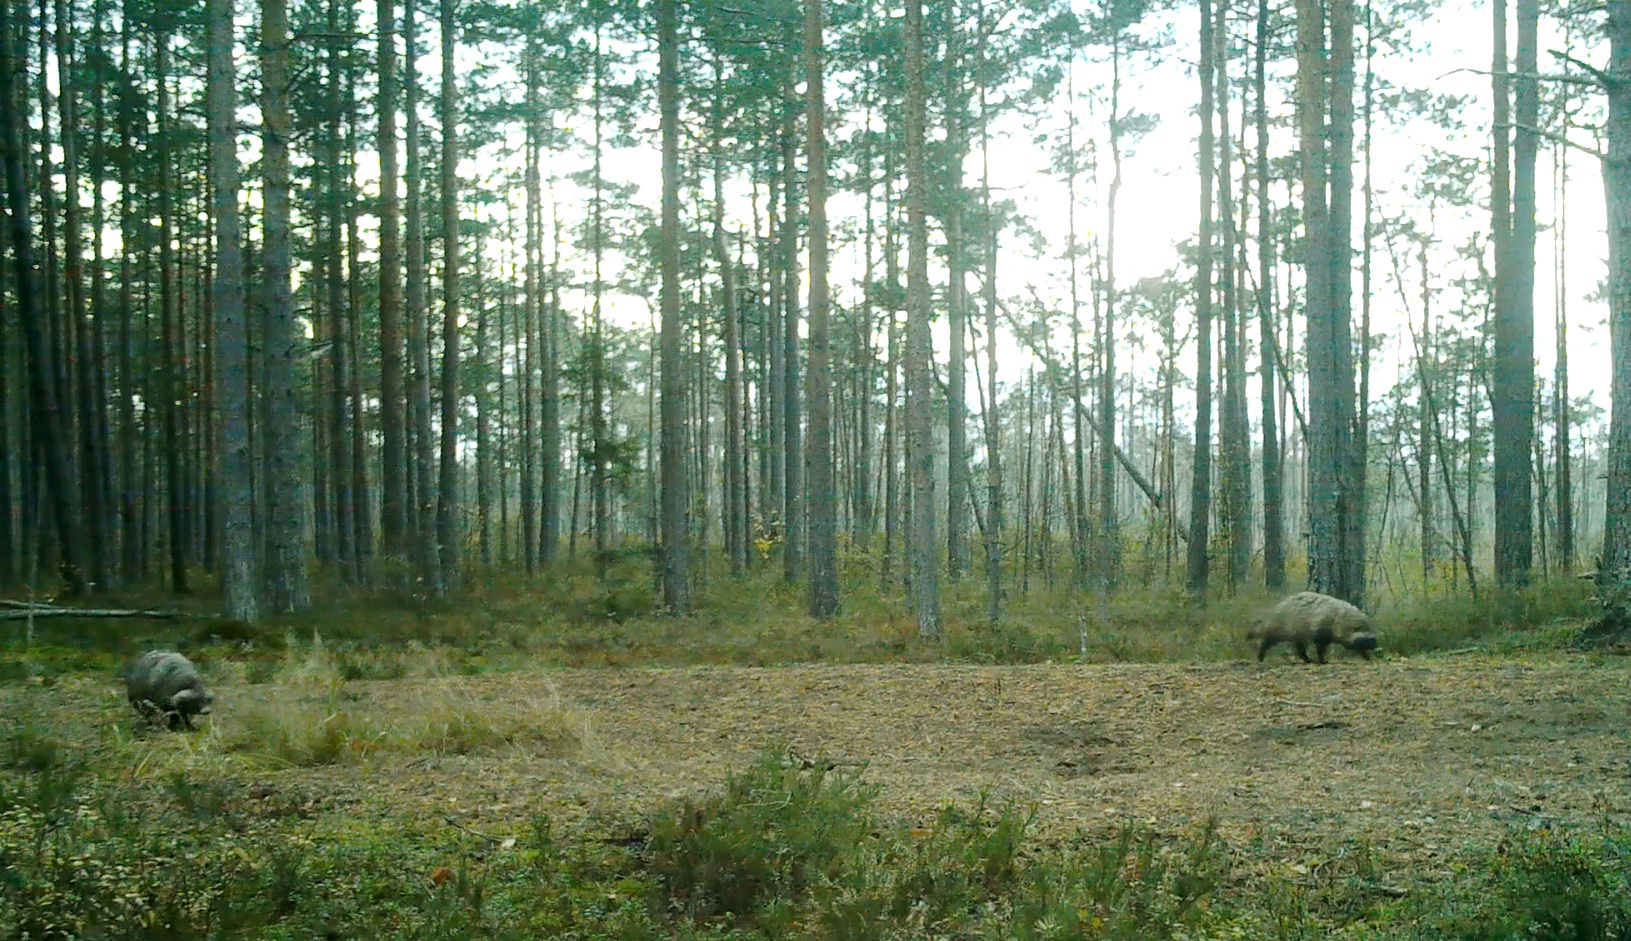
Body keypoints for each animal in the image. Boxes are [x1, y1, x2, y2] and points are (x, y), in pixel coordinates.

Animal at [1246, 593, 1376, 658]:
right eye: (1370, 640)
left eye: (1373, 639)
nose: (1376, 647)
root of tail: (1276, 609)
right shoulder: (1321, 627)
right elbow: (1320, 646)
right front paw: (1322, 660)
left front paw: (1366, 656)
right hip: (1283, 627)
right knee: (1269, 640)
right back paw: (1261, 654)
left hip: (1296, 632)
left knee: (1299, 647)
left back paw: (1306, 658)